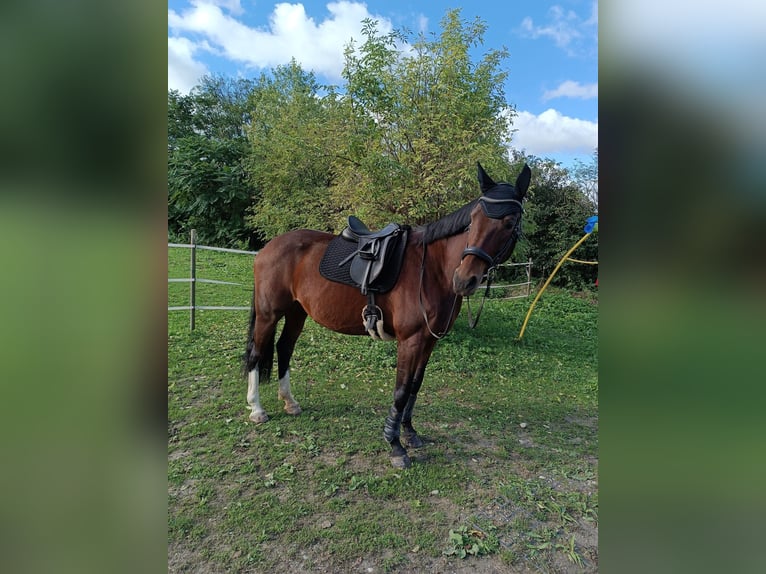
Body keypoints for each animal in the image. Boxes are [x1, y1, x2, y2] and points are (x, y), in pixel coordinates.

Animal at [248, 162, 536, 468]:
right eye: (473, 220)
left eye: (509, 223)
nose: (464, 280)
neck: (432, 269)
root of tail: (268, 247)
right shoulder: (409, 341)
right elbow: (400, 391)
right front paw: (395, 445)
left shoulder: (429, 340)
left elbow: (415, 386)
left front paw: (409, 433)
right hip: (268, 314)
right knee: (256, 353)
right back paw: (256, 409)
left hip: (296, 313)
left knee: (284, 348)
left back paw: (290, 403)